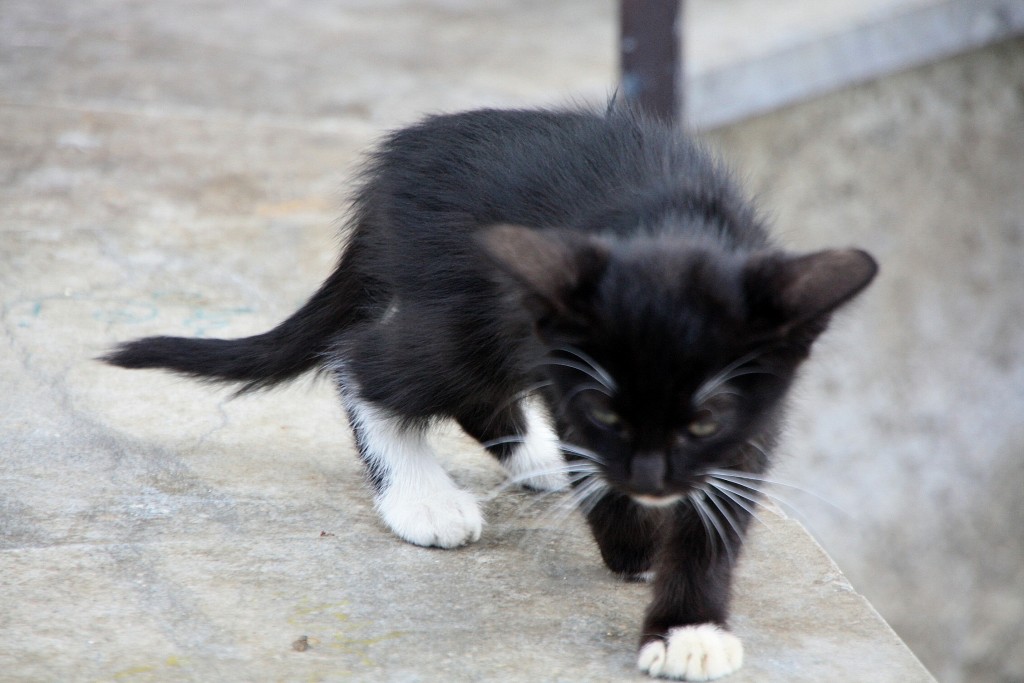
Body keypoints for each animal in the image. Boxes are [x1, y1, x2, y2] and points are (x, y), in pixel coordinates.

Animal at [103, 104, 876, 679]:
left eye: (705, 419)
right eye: (606, 410)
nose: (650, 480)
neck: (675, 228)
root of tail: (392, 166)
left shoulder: (753, 421)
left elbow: (716, 517)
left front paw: (689, 625)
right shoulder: (570, 379)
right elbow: (599, 470)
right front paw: (631, 545)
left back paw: (532, 464)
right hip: (466, 317)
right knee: (362, 361)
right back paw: (421, 497)